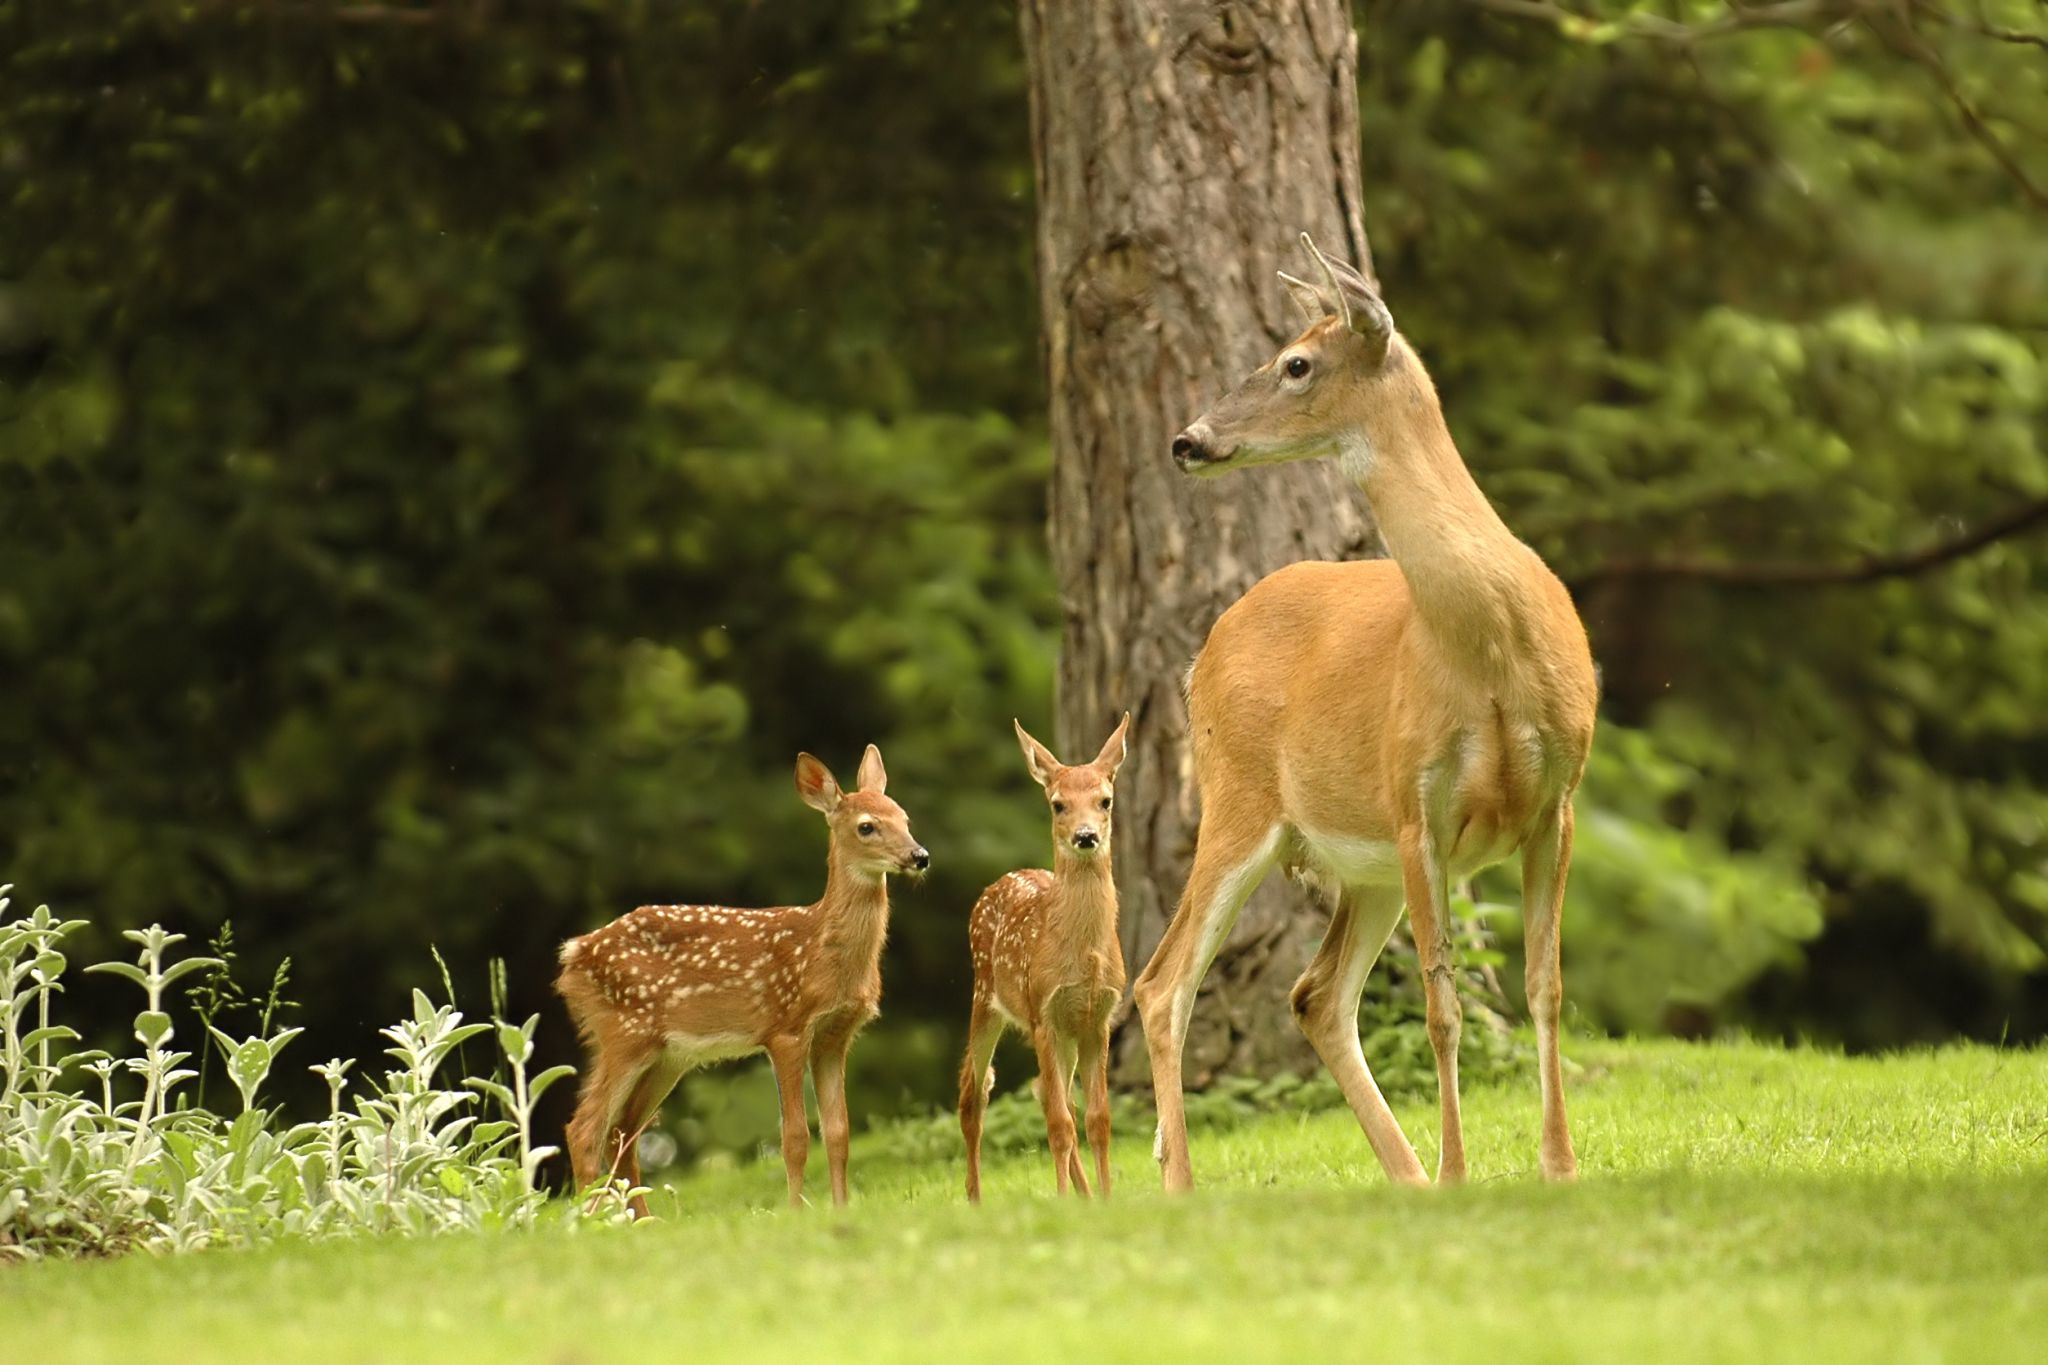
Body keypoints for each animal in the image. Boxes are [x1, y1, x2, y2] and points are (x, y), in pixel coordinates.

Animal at [552, 749, 921, 1219]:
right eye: (867, 826)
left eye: (905, 818)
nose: (919, 855)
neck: (822, 952)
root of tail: (573, 953)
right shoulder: (785, 1029)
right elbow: (795, 1136)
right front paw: (796, 1212)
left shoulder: (836, 1036)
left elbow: (838, 1132)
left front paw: (840, 1210)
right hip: (623, 1033)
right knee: (585, 1128)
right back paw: (595, 1220)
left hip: (668, 1055)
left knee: (622, 1129)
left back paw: (643, 1222)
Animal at [958, 720, 1138, 1203]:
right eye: (1058, 804)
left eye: (1105, 800)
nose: (1086, 836)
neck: (1084, 953)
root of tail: (1002, 879)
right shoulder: (1043, 1015)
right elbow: (1060, 1126)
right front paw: (1060, 1198)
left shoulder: (1097, 1019)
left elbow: (1097, 1120)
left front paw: (1107, 1198)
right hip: (986, 998)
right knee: (974, 1093)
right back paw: (975, 1198)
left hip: (1066, 1036)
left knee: (1047, 1094)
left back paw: (1086, 1196)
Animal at [1138, 235, 1597, 1195]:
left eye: (1295, 363)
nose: (1188, 438)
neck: (1490, 649)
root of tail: (1203, 652)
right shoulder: (1416, 800)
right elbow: (1441, 1002)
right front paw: (1462, 1171)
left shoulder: (1557, 799)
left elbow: (1544, 987)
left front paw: (1559, 1166)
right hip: (1241, 804)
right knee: (1164, 984)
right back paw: (1184, 1184)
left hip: (1365, 864)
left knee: (1315, 994)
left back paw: (1406, 1175)